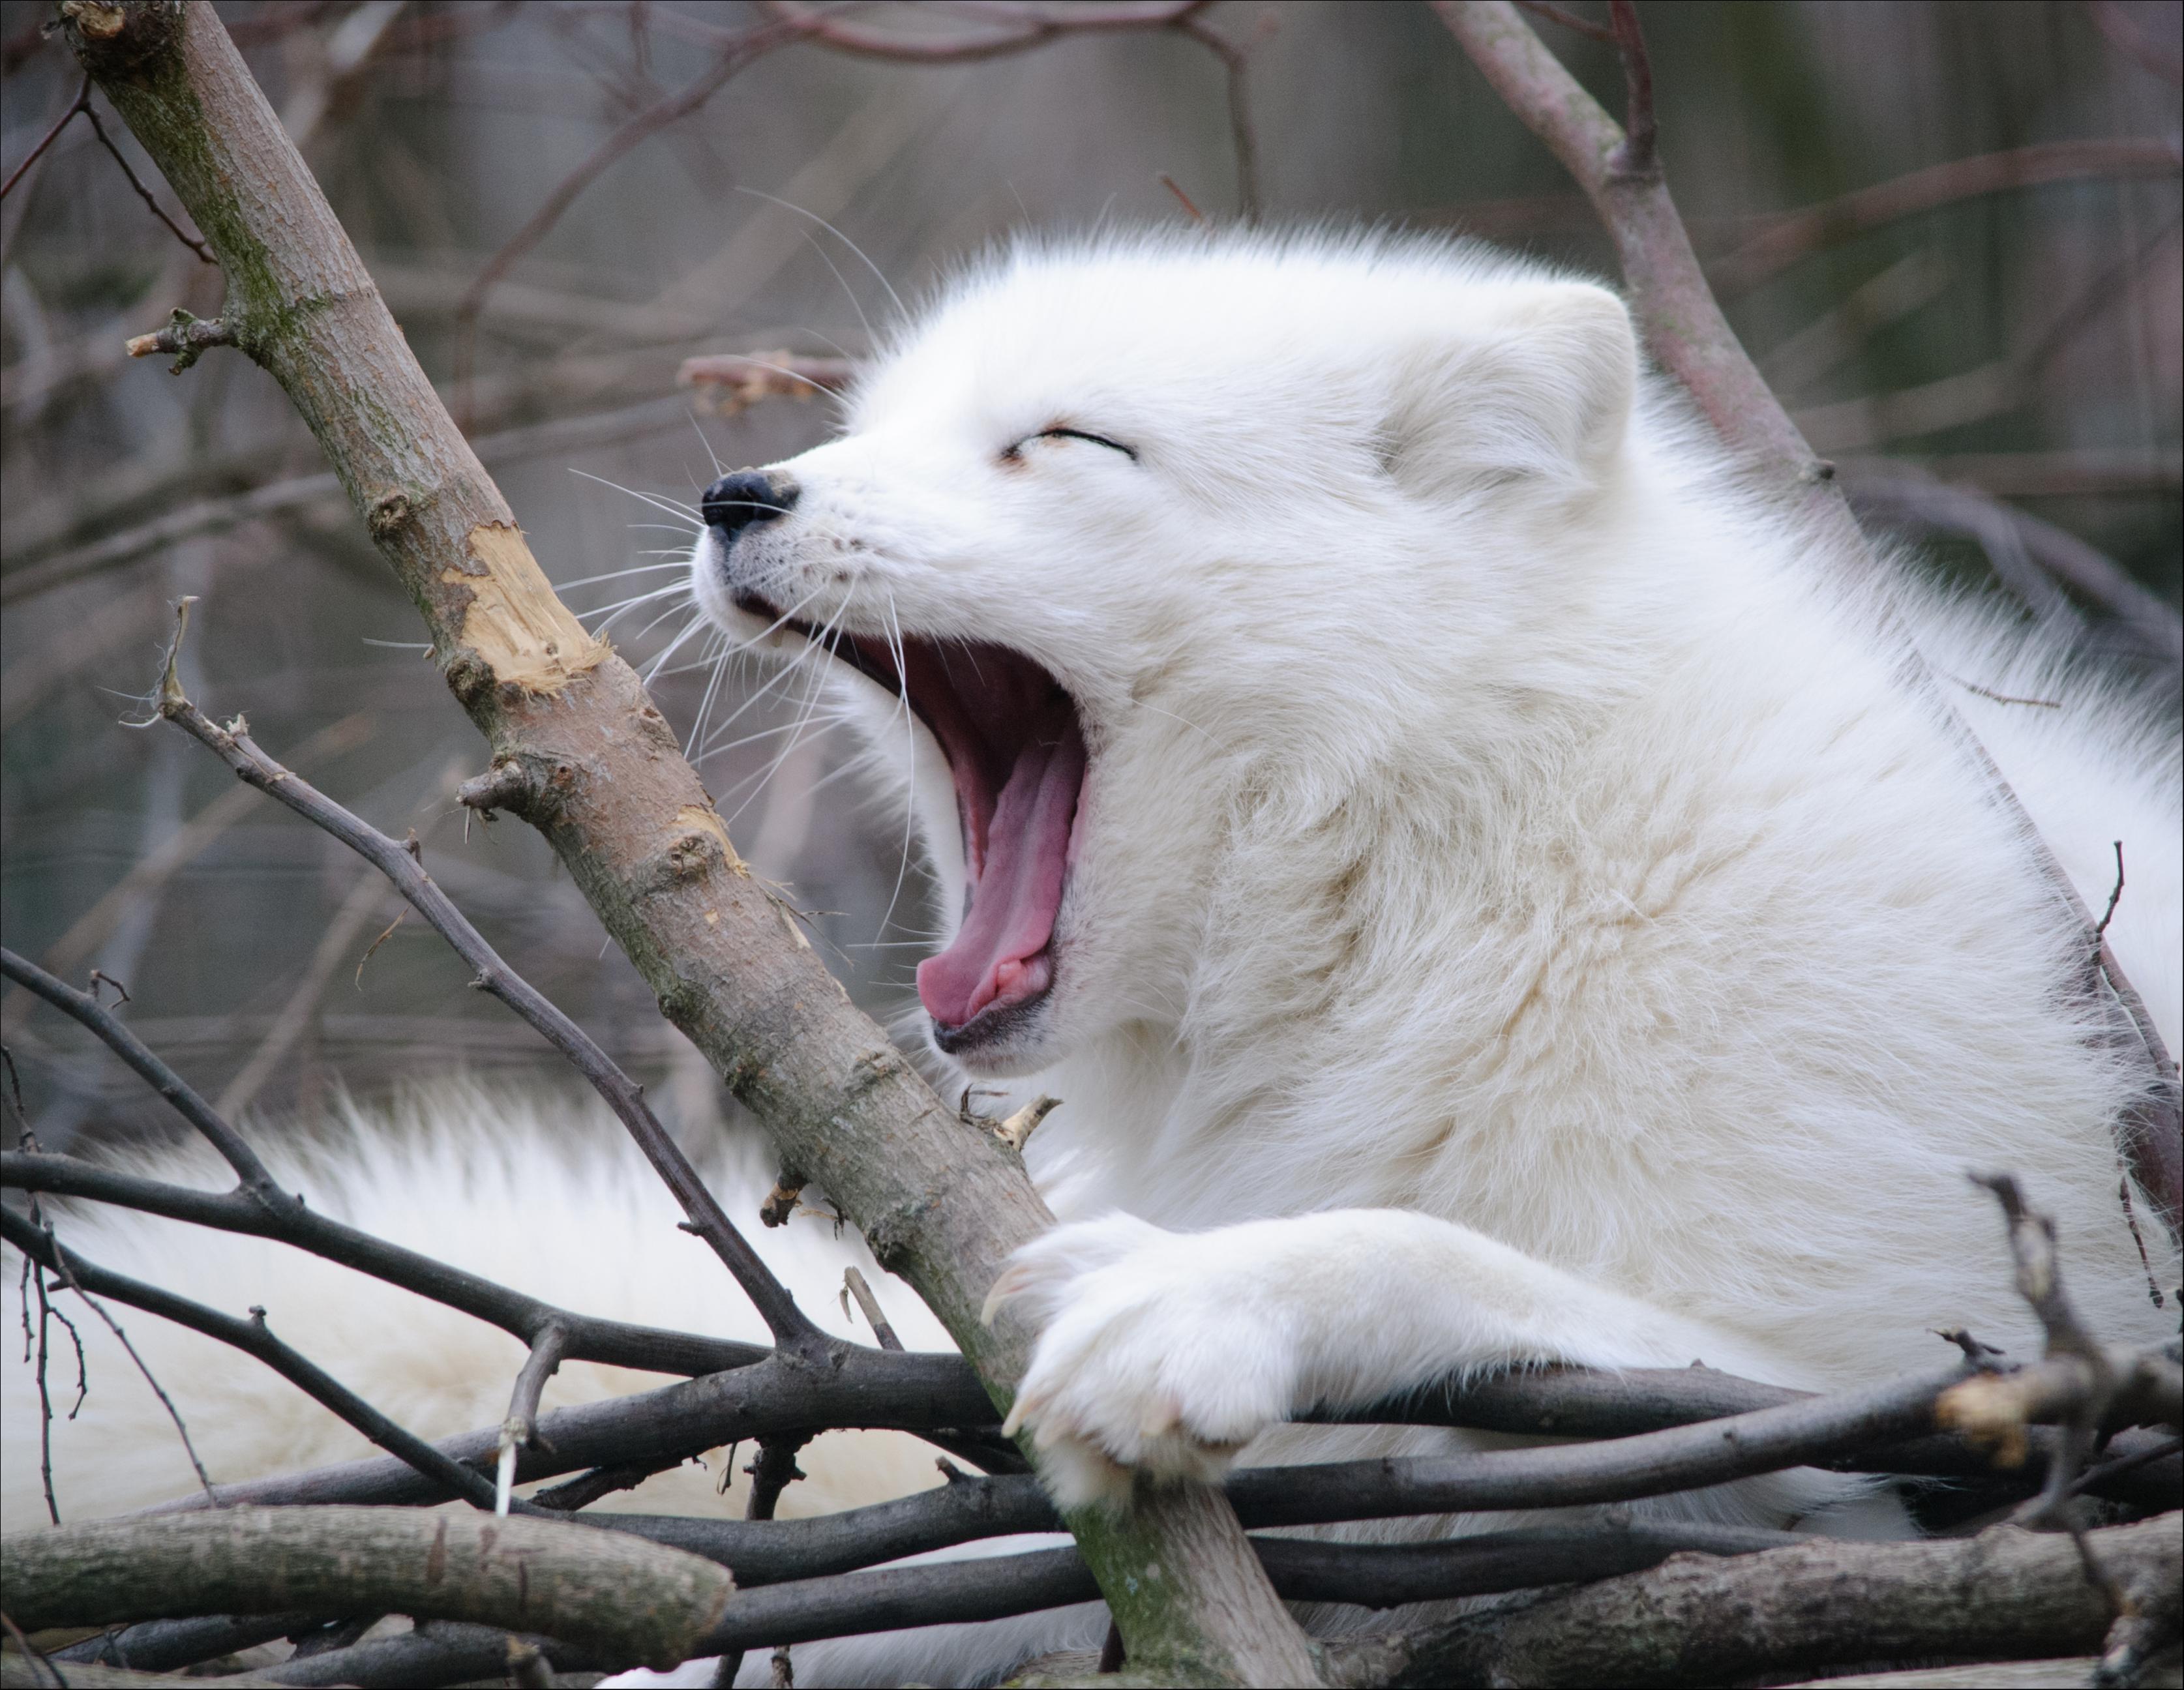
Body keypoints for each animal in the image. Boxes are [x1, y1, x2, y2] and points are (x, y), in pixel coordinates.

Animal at [7, 228, 2179, 1688]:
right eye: (877, 426)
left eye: (1062, 444)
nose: (739, 490)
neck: (1472, 860)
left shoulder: (1939, 1419)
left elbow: (1509, 1289)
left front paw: (1210, 1298)